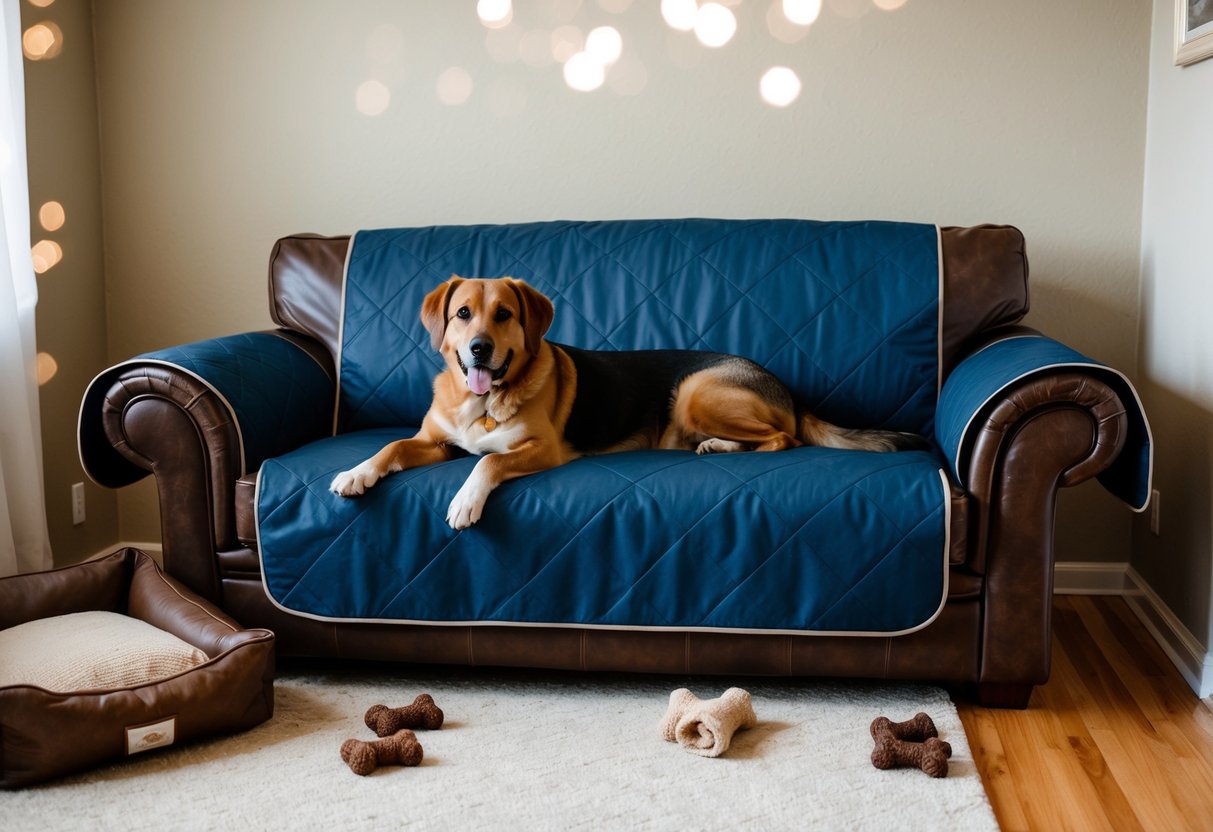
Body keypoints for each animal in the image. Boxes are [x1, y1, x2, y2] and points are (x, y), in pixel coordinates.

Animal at [327, 276, 921, 531]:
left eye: (504, 315)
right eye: (463, 314)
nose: (478, 349)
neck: (487, 400)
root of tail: (787, 390)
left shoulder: (542, 449)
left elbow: (489, 462)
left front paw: (464, 501)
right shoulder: (435, 442)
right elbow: (392, 446)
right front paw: (356, 472)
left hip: (695, 391)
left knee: (784, 438)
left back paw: (726, 445)